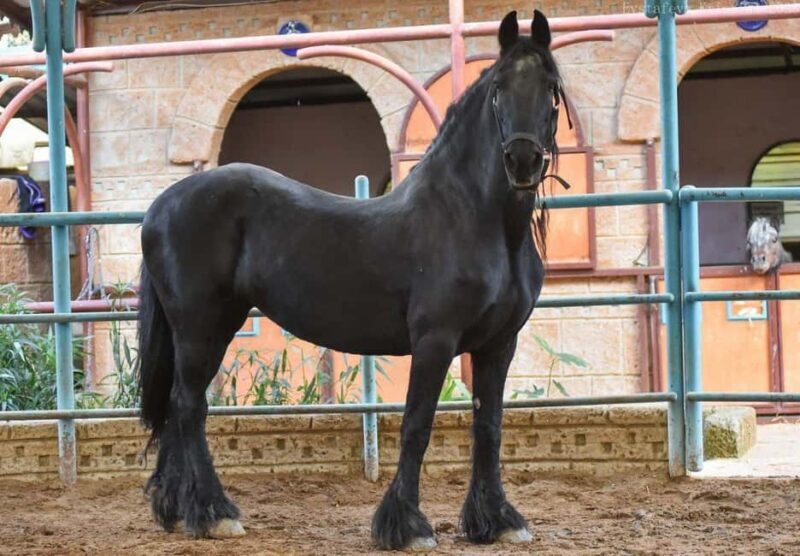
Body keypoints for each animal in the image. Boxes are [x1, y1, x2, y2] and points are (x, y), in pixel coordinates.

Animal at [137, 9, 562, 549]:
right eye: (498, 90)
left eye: (550, 88)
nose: (522, 162)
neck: (474, 219)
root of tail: (161, 205)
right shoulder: (435, 340)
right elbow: (417, 425)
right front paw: (406, 526)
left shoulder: (498, 344)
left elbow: (489, 426)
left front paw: (499, 520)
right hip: (200, 326)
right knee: (188, 406)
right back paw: (215, 512)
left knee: (176, 408)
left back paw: (176, 510)